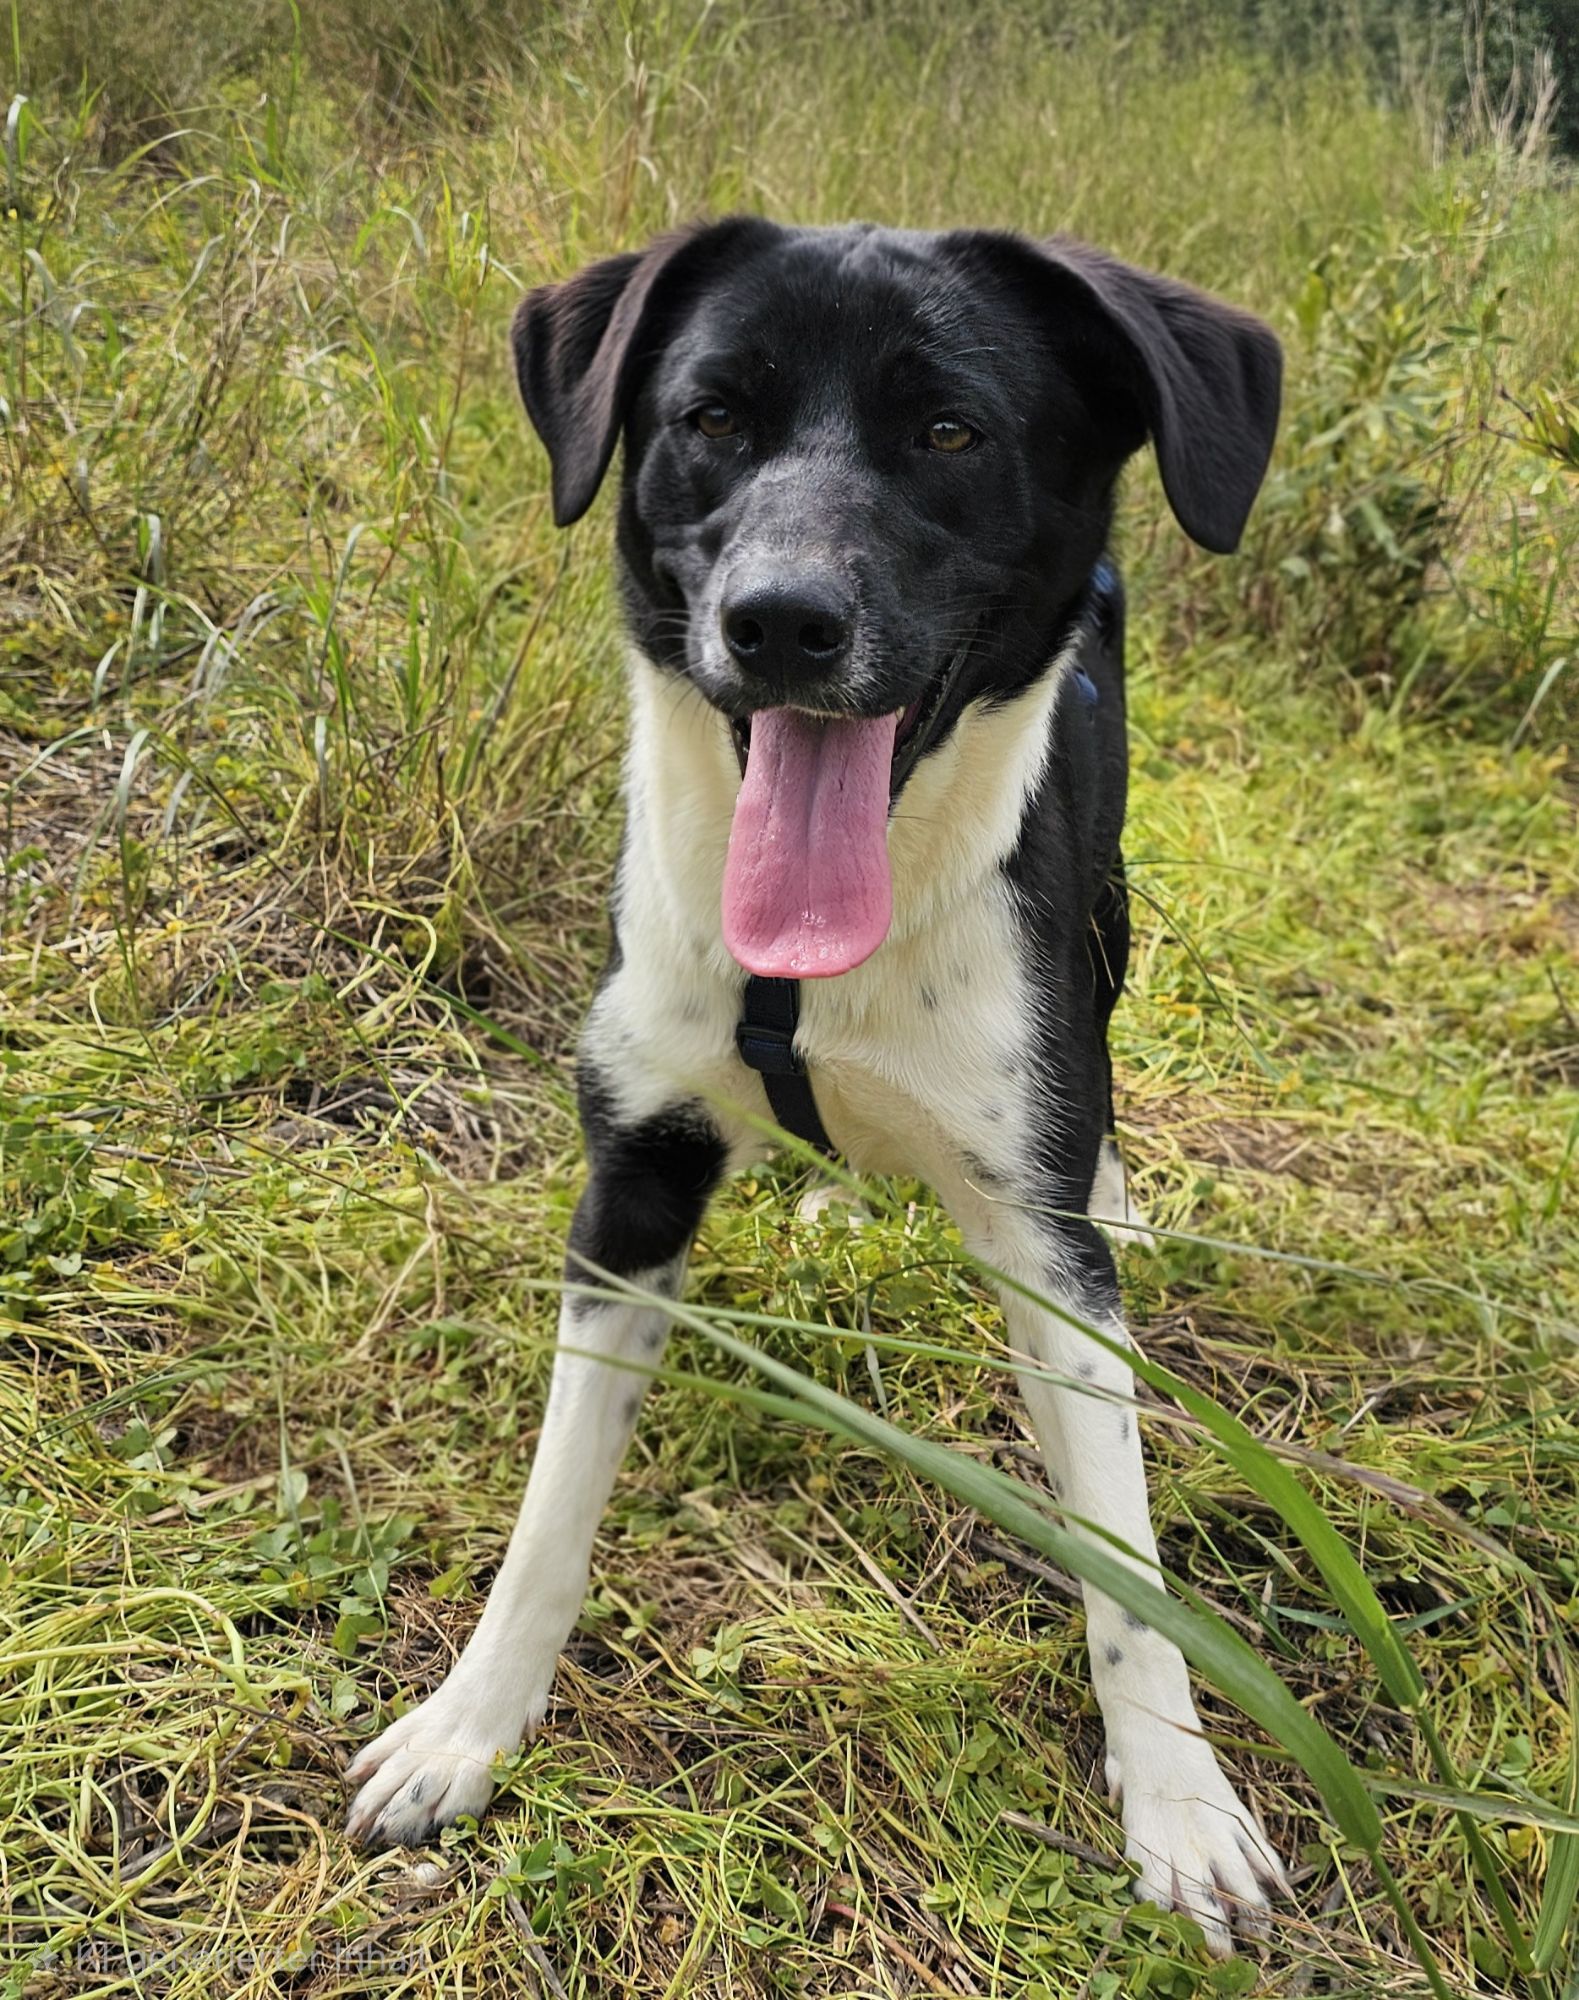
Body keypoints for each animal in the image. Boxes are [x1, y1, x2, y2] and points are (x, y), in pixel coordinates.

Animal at [344, 218, 1288, 1953]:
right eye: (710, 417)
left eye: (950, 432)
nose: (779, 623)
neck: (811, 960)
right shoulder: (632, 1177)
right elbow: (549, 1508)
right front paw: (466, 1725)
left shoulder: (1039, 1245)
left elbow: (1123, 1556)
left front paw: (1181, 1803)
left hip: (1106, 914)